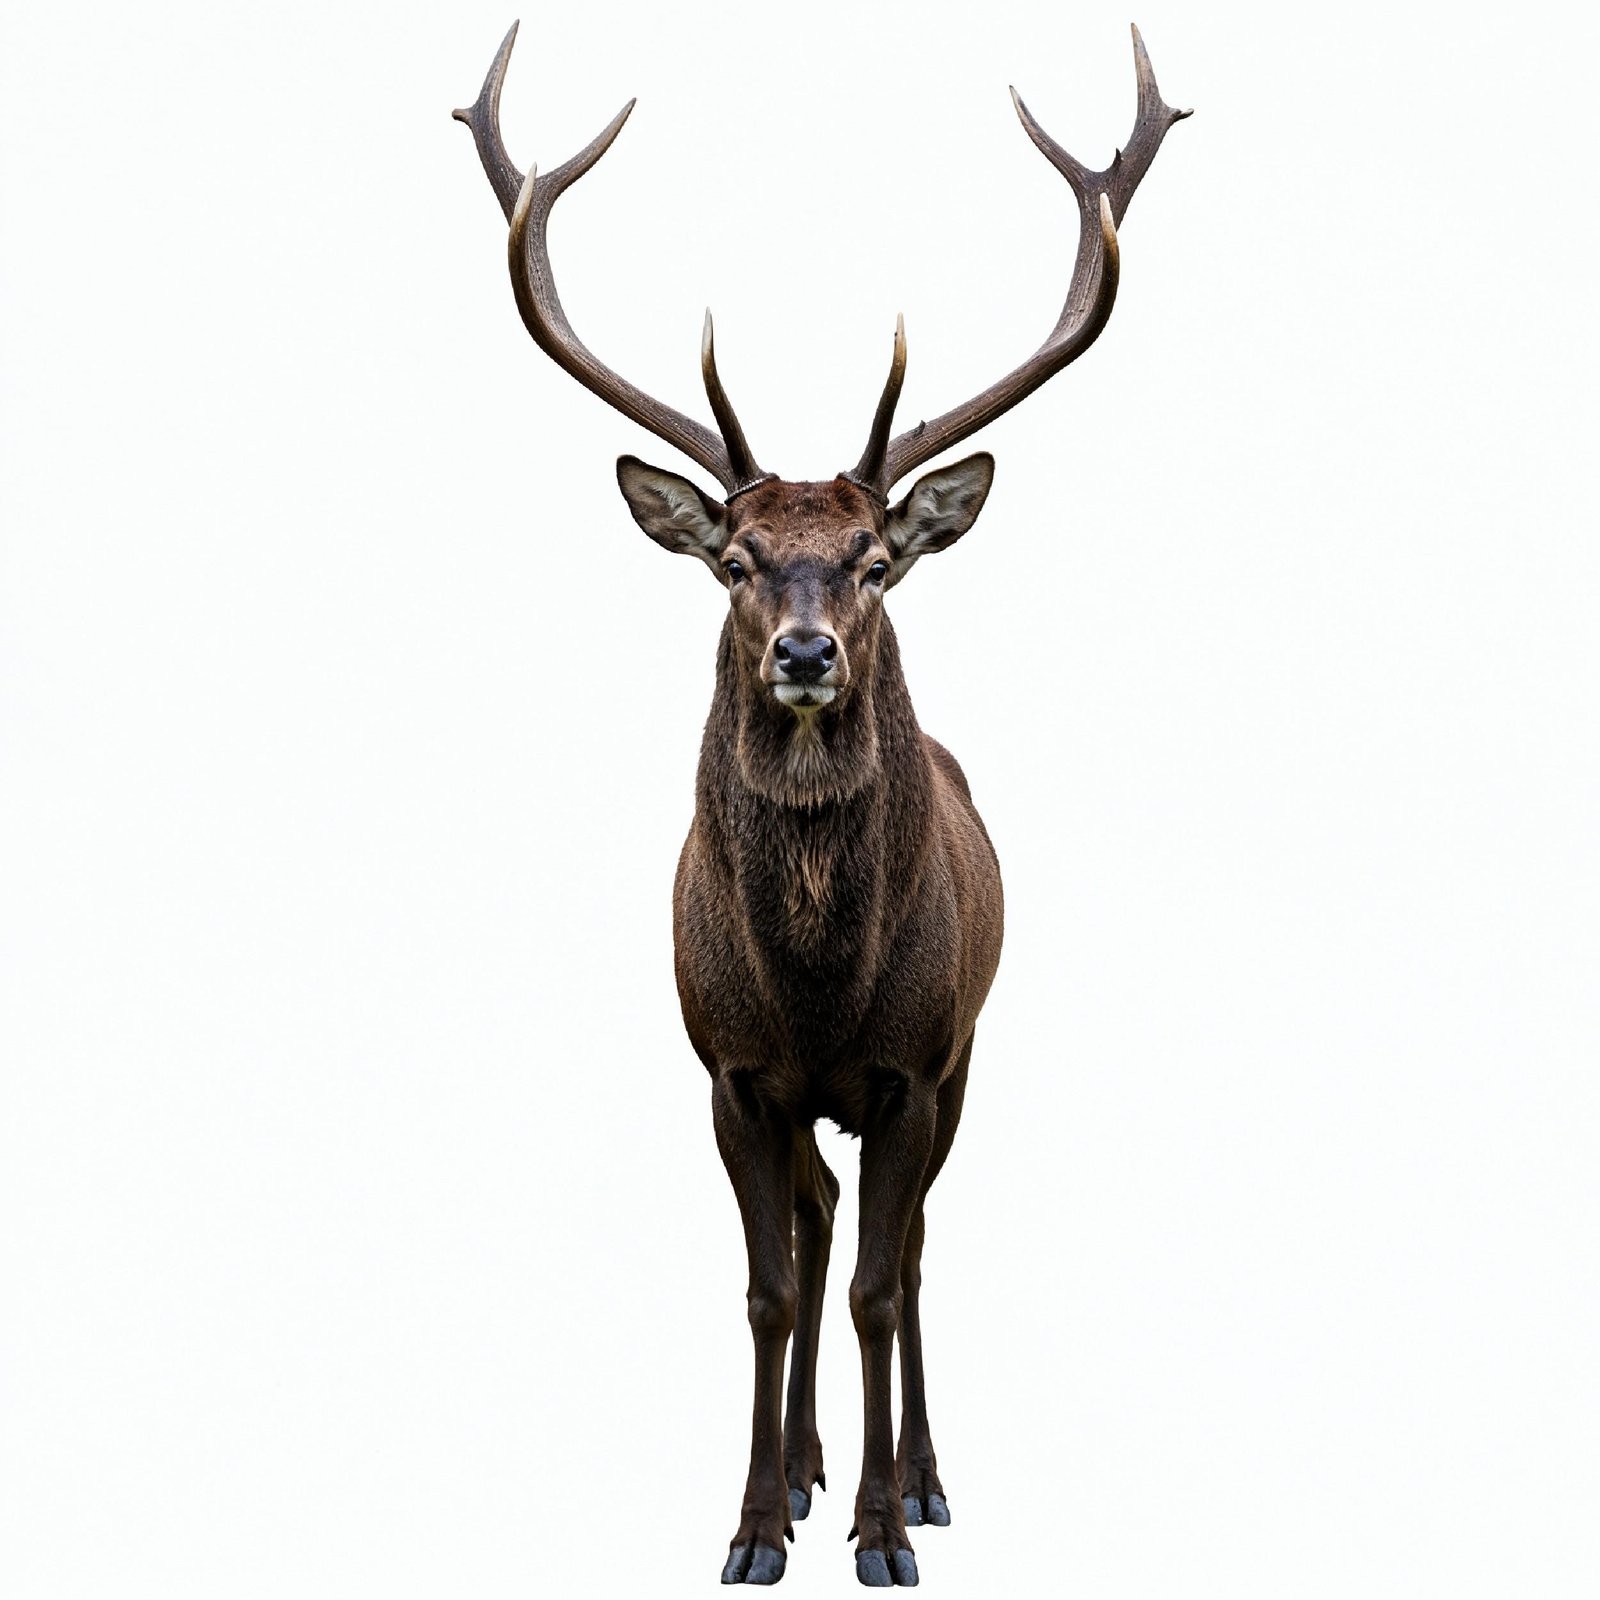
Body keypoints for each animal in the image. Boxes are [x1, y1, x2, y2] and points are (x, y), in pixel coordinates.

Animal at [454, 20, 1188, 1588]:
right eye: (734, 559)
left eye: (872, 559)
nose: (805, 652)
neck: (817, 988)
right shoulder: (733, 1071)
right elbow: (771, 1291)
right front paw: (751, 1523)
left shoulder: (915, 1063)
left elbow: (872, 1291)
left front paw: (881, 1524)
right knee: (821, 1213)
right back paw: (796, 1467)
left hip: (968, 1054)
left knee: (906, 1249)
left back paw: (917, 1476)